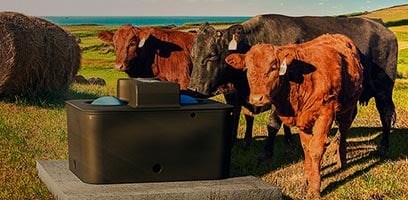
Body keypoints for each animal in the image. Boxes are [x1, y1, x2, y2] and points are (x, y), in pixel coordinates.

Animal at [189, 14, 398, 160]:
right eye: (192, 54)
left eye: (213, 55)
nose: (193, 89)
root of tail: (380, 25)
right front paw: (288, 145)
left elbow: (273, 123)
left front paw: (267, 152)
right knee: (349, 116)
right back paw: (335, 144)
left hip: (383, 88)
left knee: (386, 113)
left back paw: (383, 146)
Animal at [226, 34, 364, 198]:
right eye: (248, 69)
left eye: (273, 67)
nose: (257, 99)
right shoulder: (302, 119)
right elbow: (306, 148)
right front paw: (307, 178)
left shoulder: (326, 114)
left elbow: (316, 149)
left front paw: (314, 189)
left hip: (348, 108)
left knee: (343, 130)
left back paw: (341, 160)